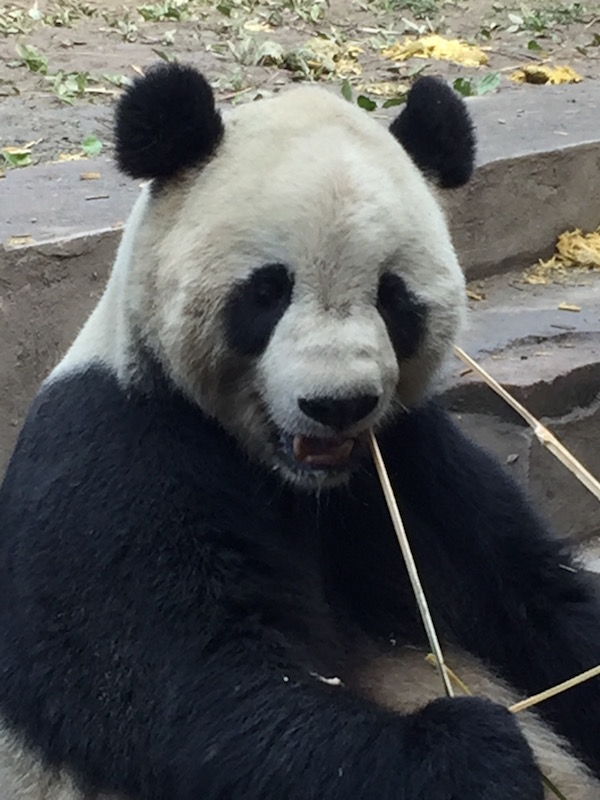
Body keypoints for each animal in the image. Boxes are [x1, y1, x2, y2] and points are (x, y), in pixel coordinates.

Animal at [1, 64, 600, 800]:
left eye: (393, 296)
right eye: (267, 291)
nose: (337, 405)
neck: (297, 481)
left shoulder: (413, 464)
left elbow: (538, 598)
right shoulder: (115, 459)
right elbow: (191, 697)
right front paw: (470, 752)